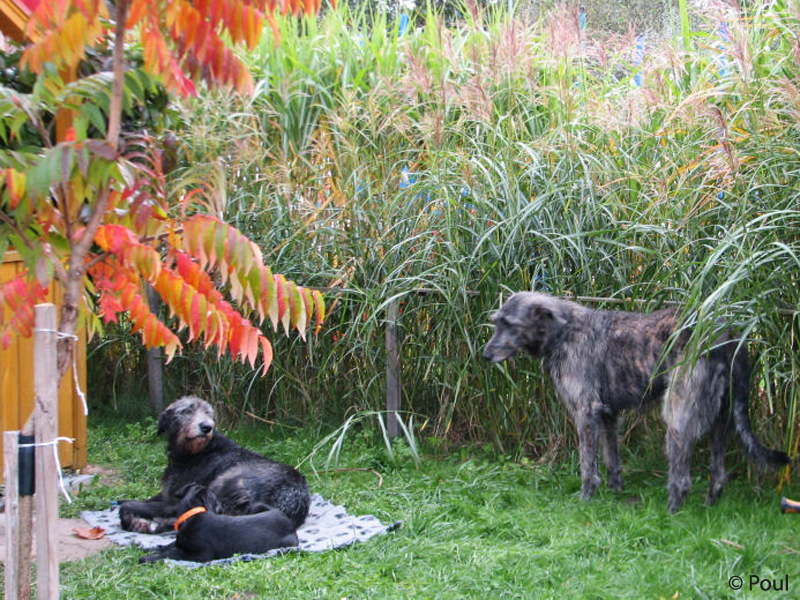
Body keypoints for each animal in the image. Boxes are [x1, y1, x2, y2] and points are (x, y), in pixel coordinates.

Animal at [119, 398, 310, 536]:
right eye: (186, 411)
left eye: (208, 413)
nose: (206, 427)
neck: (198, 451)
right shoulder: (169, 493)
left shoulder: (179, 497)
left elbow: (131, 505)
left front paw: (136, 518)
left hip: (224, 484)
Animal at [139, 482, 298, 564]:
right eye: (216, 500)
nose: (222, 508)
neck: (191, 516)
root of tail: (284, 517)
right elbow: (170, 545)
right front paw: (153, 548)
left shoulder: (202, 554)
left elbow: (172, 553)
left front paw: (147, 558)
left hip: (287, 543)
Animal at [482, 290, 788, 510]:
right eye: (497, 322)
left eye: (508, 324)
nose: (485, 355)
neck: (563, 331)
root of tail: (728, 333)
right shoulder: (607, 415)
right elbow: (611, 457)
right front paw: (616, 490)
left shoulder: (586, 412)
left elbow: (588, 464)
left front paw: (586, 498)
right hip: (722, 419)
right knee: (719, 473)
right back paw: (708, 506)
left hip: (678, 414)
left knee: (682, 477)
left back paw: (671, 513)